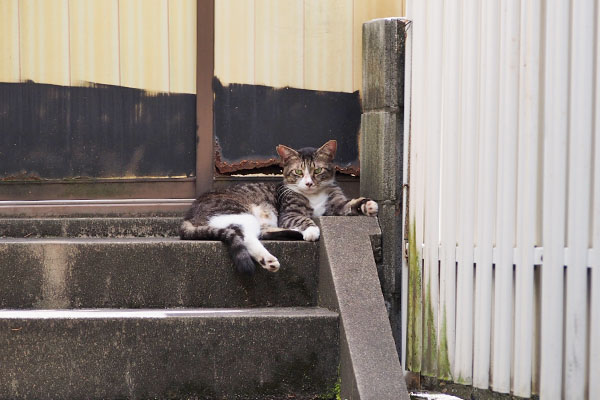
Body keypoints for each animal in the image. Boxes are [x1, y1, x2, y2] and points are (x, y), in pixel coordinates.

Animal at [179, 139, 380, 274]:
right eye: (298, 172)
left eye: (317, 170)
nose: (308, 183)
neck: (313, 195)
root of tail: (188, 217)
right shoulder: (289, 213)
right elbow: (304, 218)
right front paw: (312, 230)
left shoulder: (336, 203)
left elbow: (349, 204)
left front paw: (368, 205)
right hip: (238, 212)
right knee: (246, 236)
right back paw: (268, 260)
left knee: (260, 233)